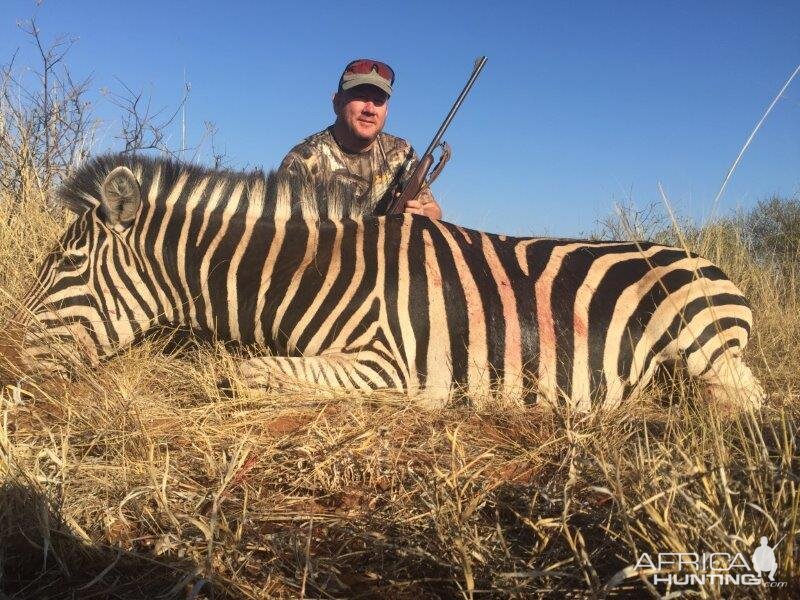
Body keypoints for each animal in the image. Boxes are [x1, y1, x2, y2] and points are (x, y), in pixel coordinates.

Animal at [14, 154, 764, 412]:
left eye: (65, 268)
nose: (12, 358)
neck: (317, 274)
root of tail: (710, 263)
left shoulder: (389, 361)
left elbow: (244, 375)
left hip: (704, 348)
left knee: (741, 401)